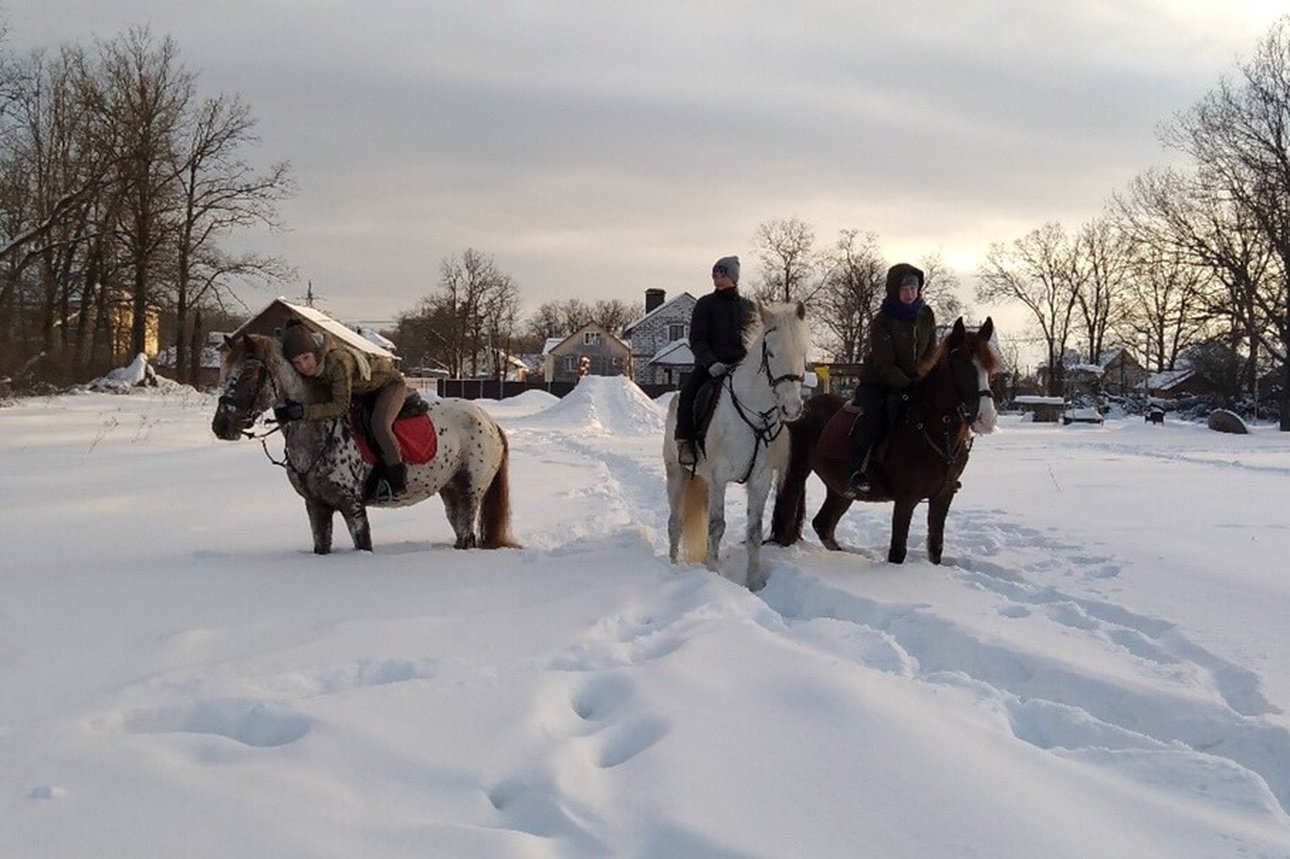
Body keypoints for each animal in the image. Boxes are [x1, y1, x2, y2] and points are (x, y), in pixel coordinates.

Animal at [208, 330, 516, 552]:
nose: (221, 426)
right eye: (225, 372)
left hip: (470, 491)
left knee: (466, 532)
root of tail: (489, 421)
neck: (319, 432)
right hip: (449, 490)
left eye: (248, 373)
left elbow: (363, 545)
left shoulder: (352, 507)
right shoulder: (316, 507)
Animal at [768, 314, 1001, 562]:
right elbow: (898, 550)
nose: (987, 419)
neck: (934, 431)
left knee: (823, 524)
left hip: (840, 488)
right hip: (795, 474)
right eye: (959, 365)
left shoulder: (943, 496)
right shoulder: (906, 498)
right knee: (788, 520)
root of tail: (801, 409)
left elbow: (935, 547)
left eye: (990, 367)